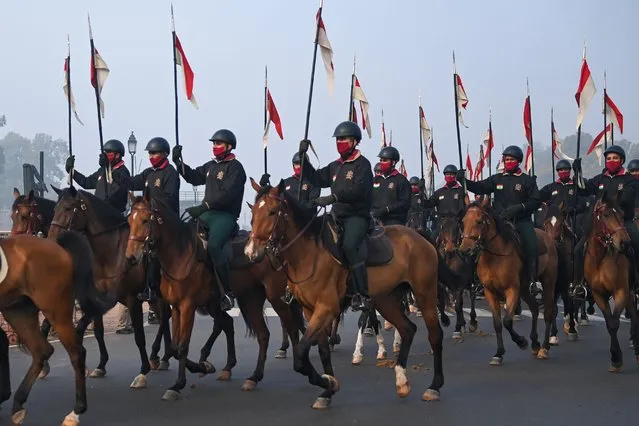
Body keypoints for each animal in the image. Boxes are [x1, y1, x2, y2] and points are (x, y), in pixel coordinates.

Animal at [0, 231, 110, 424]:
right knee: (41, 351)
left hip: (55, 309)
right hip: (18, 311)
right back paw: (17, 405)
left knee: (76, 352)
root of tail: (57, 246)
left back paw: (76, 411)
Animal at [47, 185, 174, 388]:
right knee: (165, 316)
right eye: (54, 209)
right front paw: (100, 365)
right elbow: (97, 331)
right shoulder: (99, 297)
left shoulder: (132, 299)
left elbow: (139, 336)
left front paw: (142, 372)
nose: (50, 239)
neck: (112, 253)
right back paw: (162, 356)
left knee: (164, 318)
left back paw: (157, 355)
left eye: (67, 209)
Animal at [246, 178, 464, 408]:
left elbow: (300, 355)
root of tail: (418, 236)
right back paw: (401, 380)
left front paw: (326, 382)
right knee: (407, 329)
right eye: (253, 214)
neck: (308, 253)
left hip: (425, 294)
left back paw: (434, 386)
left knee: (435, 335)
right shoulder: (309, 310)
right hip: (385, 300)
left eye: (272, 212)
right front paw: (328, 389)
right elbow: (322, 351)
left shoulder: (326, 308)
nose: (251, 252)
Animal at [460, 198, 560, 364]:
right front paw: (499, 353)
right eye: (463, 222)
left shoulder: (512, 289)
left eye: (479, 221)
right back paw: (535, 343)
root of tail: (548, 238)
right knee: (534, 308)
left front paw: (521, 341)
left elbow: (507, 321)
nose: (464, 251)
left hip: (548, 283)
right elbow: (497, 324)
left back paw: (544, 347)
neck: (494, 256)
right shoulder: (490, 291)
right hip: (525, 288)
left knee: (548, 312)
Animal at [584, 191, 639, 372]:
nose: (625, 243)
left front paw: (616, 358)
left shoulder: (620, 291)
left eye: (621, 214)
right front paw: (615, 357)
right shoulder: (598, 294)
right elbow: (609, 323)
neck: (601, 258)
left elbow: (614, 322)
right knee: (634, 315)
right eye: (606, 214)